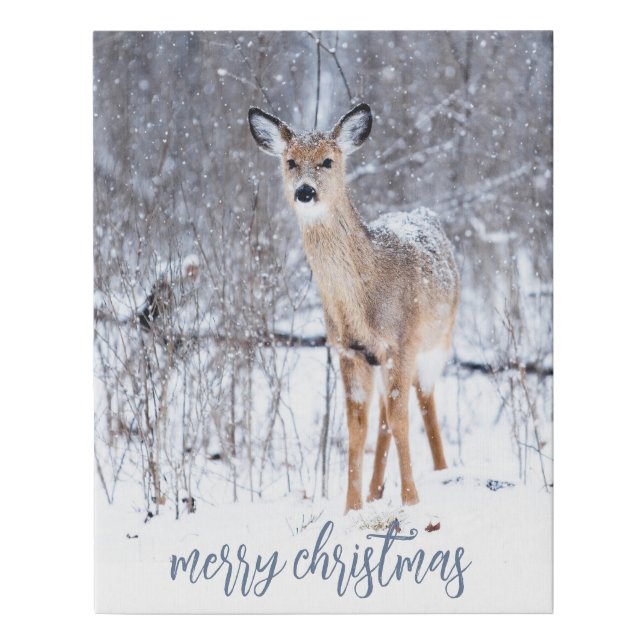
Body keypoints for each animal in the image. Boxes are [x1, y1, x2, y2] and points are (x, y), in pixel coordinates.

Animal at [248, 103, 460, 513]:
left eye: (328, 161)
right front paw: (352, 507)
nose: (305, 191)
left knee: (424, 401)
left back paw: (443, 471)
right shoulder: (349, 351)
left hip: (438, 341)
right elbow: (357, 429)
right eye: (291, 161)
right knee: (383, 417)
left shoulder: (402, 342)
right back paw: (377, 490)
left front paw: (411, 501)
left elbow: (401, 418)